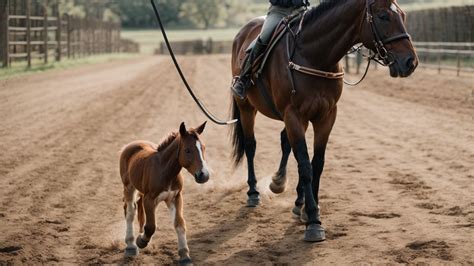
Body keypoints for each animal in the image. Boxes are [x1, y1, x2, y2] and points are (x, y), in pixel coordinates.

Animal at [119, 122, 208, 264]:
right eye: (187, 150)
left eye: (203, 148)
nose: (203, 175)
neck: (165, 171)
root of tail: (131, 145)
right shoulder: (149, 199)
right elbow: (150, 226)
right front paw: (141, 241)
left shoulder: (175, 197)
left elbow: (179, 224)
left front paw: (185, 256)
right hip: (129, 187)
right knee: (130, 212)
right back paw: (131, 246)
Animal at [230, 0, 418, 242]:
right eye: (383, 16)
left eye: (402, 15)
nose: (410, 62)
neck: (314, 56)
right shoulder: (293, 115)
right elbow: (305, 165)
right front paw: (313, 221)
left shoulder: (326, 117)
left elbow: (316, 164)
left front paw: (308, 209)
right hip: (246, 108)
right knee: (250, 146)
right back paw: (253, 193)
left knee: (285, 142)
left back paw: (282, 185)